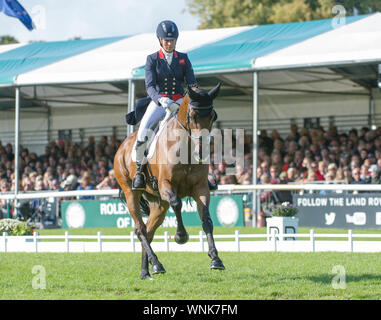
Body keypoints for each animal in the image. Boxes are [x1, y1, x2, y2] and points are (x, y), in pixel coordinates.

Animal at [114, 83, 224, 280]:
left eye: (213, 115)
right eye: (192, 115)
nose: (202, 150)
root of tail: (121, 147)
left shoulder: (201, 188)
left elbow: (206, 219)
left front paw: (215, 259)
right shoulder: (166, 184)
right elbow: (177, 203)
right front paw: (181, 236)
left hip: (158, 204)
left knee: (148, 231)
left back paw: (147, 271)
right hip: (130, 193)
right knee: (140, 229)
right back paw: (156, 264)